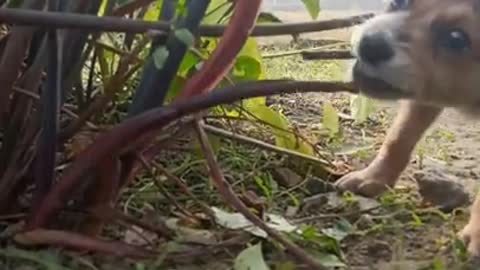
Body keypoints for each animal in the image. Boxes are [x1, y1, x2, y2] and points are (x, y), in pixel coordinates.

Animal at [336, 0, 480, 256]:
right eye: (398, 2)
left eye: (456, 39)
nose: (371, 44)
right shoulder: (422, 101)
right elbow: (398, 139)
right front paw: (373, 177)